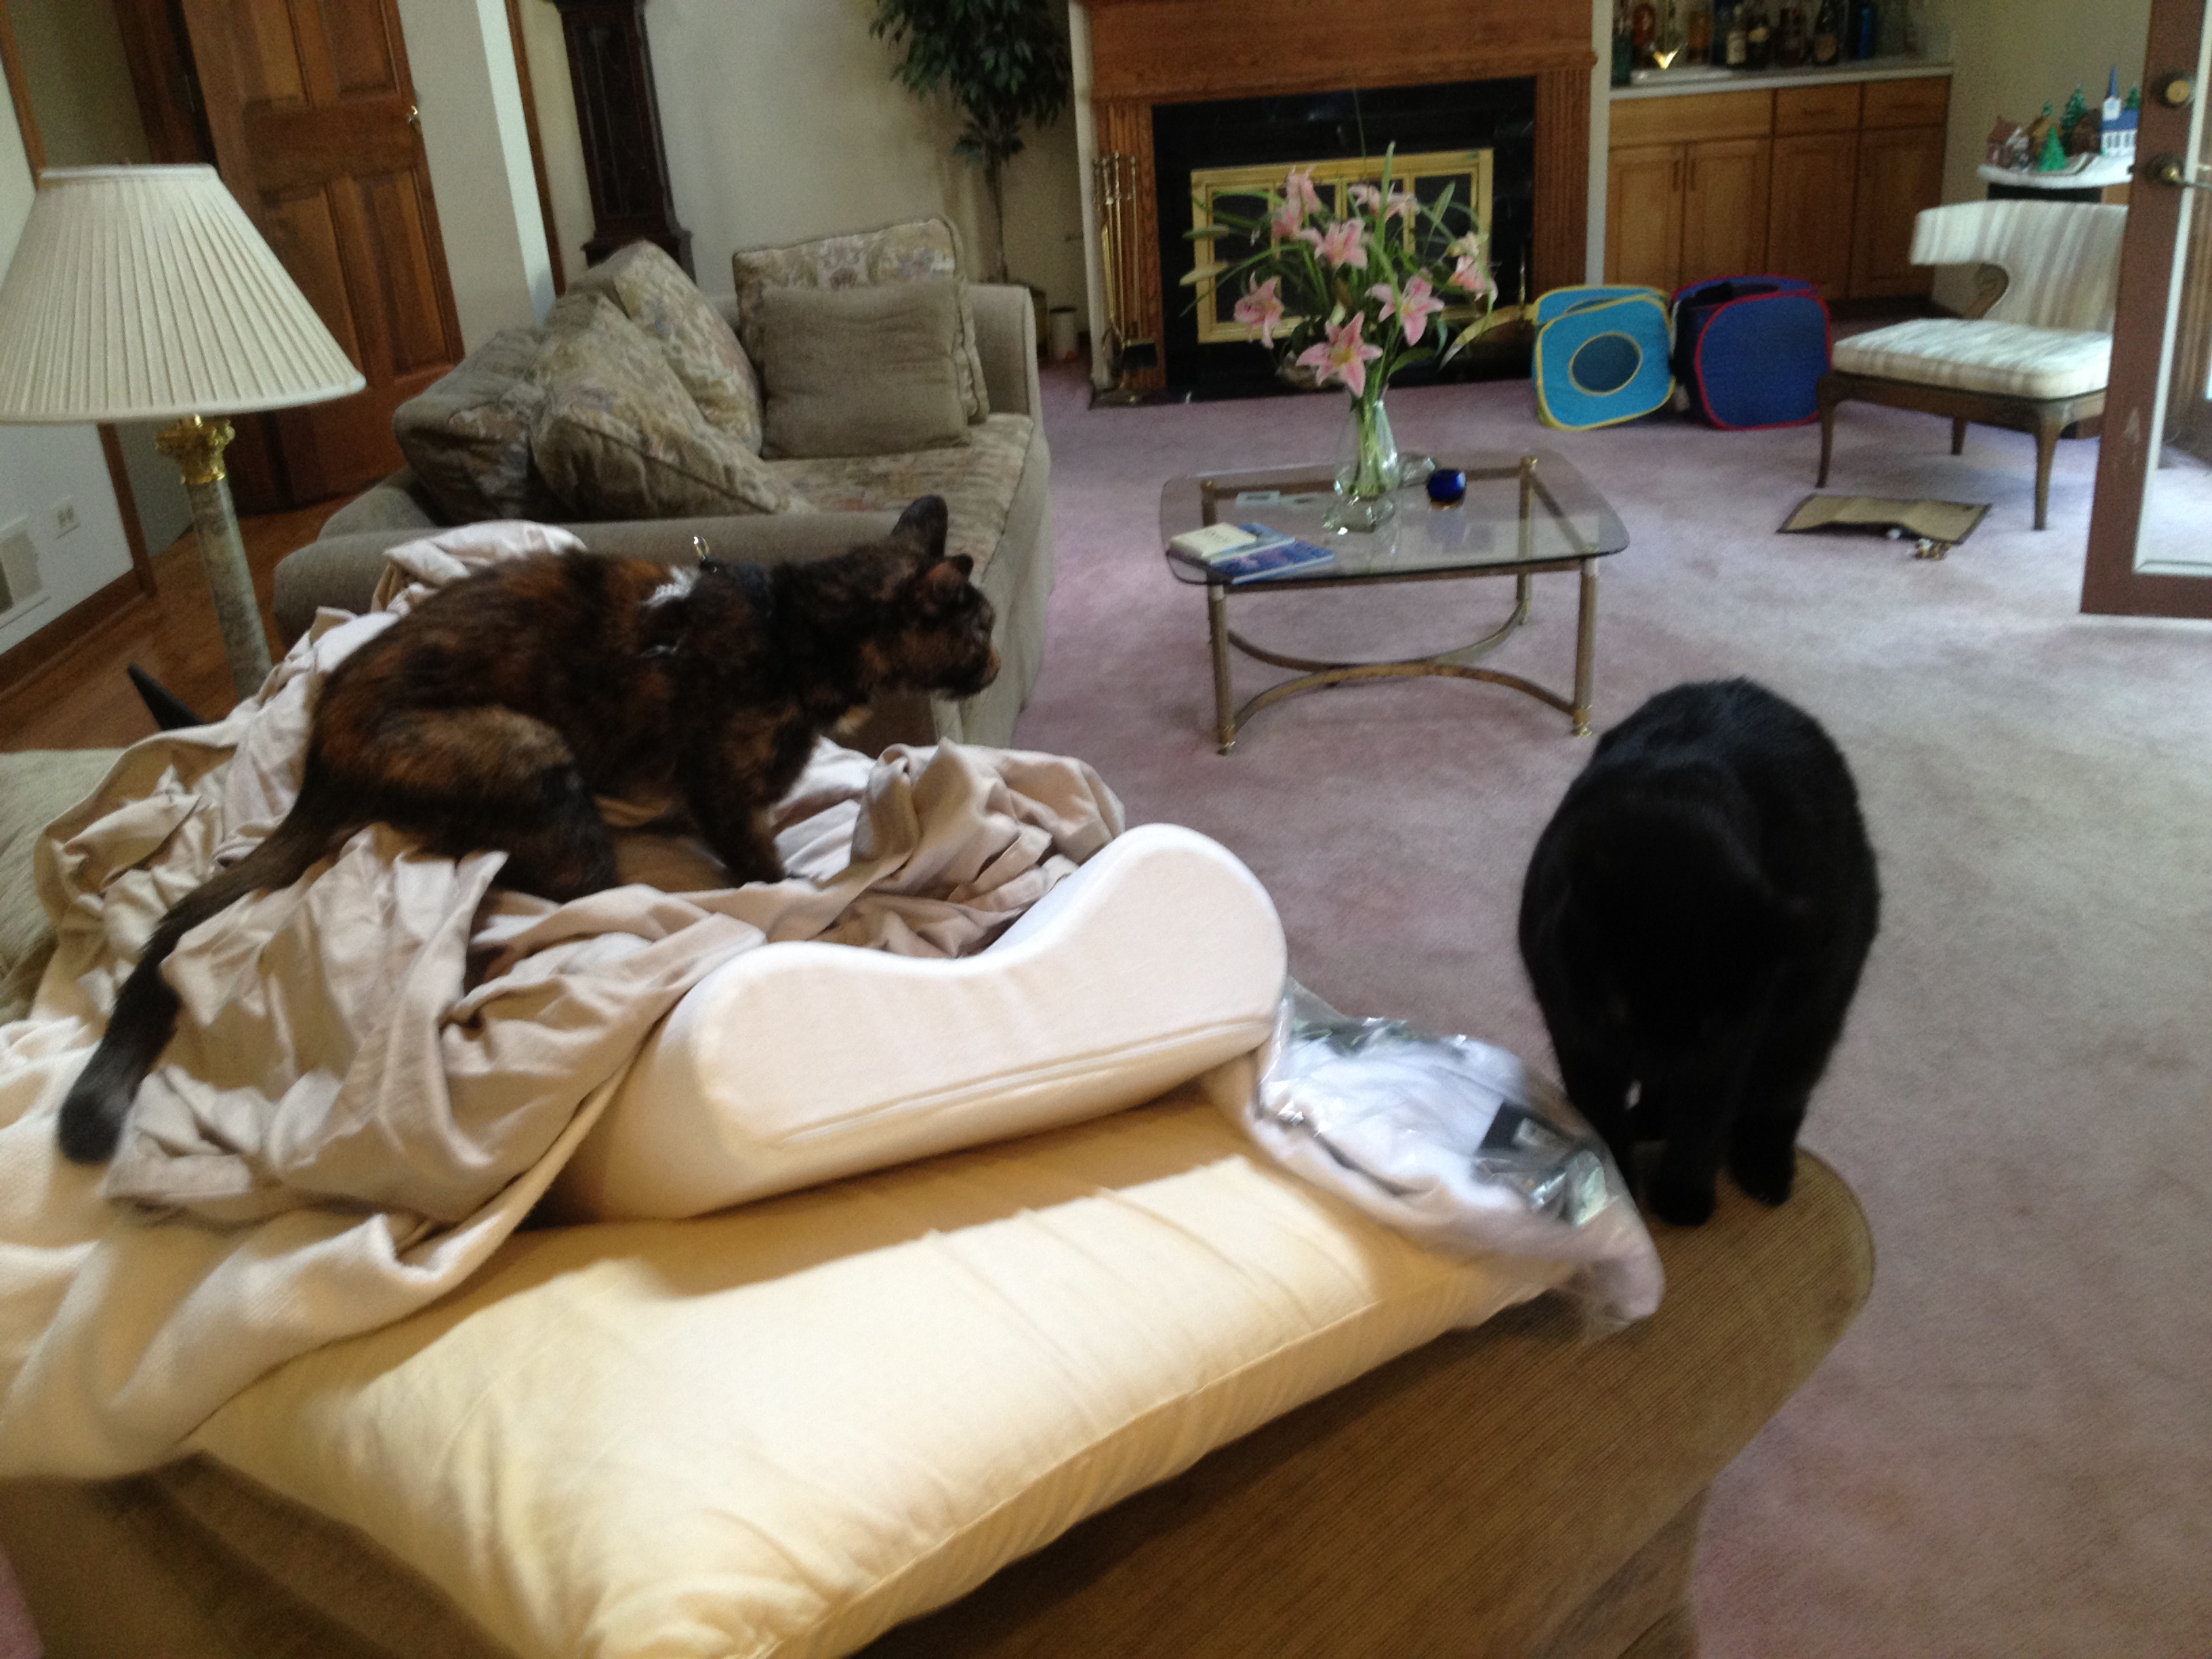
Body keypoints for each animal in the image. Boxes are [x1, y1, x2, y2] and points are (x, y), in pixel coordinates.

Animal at [58, 494, 995, 1166]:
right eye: (979, 627)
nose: (989, 664)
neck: (795, 630)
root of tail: (321, 752)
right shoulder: (724, 790)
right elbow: (767, 871)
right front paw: (795, 896)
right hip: (534, 756)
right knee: (557, 890)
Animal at [1517, 678, 1878, 1228]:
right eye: (1619, 1009)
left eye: (1710, 1023)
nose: (1657, 1062)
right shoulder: (1576, 1033)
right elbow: (1600, 1118)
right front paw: (1621, 1190)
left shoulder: (1729, 1045)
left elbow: (1704, 1124)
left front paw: (1683, 1199)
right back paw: (1649, 1119)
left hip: (1808, 1016)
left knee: (1781, 1098)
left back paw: (1765, 1170)